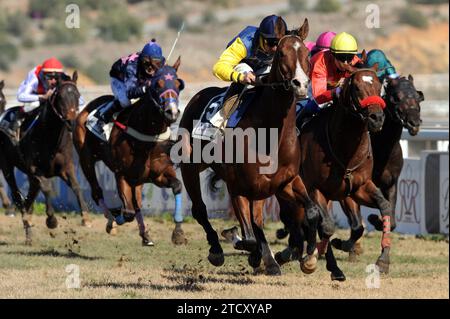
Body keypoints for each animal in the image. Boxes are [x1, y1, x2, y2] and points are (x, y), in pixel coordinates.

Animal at [0, 74, 92, 245]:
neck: (50, 137)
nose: (71, 122)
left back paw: (28, 227)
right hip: (7, 166)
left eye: (77, 96)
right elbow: (48, 188)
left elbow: (76, 187)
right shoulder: (34, 169)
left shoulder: (67, 167)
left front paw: (86, 218)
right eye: (61, 97)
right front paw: (51, 220)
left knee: (28, 200)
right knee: (17, 196)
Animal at [74, 61, 186, 246]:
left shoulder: (158, 174)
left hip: (138, 179)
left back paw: (145, 234)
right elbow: (127, 213)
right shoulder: (122, 175)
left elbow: (177, 186)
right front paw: (115, 217)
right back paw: (111, 222)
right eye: (157, 84)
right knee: (97, 193)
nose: (172, 112)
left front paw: (178, 233)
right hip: (86, 160)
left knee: (137, 202)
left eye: (178, 84)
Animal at [178, 18, 322, 276]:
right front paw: (237, 239)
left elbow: (312, 211)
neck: (270, 134)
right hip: (191, 168)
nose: (301, 84)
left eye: (306, 53)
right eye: (282, 53)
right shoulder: (239, 187)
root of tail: (197, 96)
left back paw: (270, 260)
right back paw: (218, 249)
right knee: (200, 210)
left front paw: (308, 259)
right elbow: (248, 236)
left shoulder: (285, 181)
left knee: (256, 221)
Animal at [276, 63, 392, 280]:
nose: (377, 118)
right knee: (298, 222)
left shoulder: (358, 187)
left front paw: (382, 259)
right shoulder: (315, 189)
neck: (345, 149)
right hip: (288, 191)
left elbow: (377, 212)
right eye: (356, 87)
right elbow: (327, 227)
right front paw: (311, 259)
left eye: (379, 86)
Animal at [332, 74, 424, 260]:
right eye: (396, 97)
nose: (414, 123)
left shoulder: (391, 184)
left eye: (417, 97)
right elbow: (356, 223)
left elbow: (392, 220)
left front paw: (377, 220)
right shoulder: (352, 187)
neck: (382, 149)